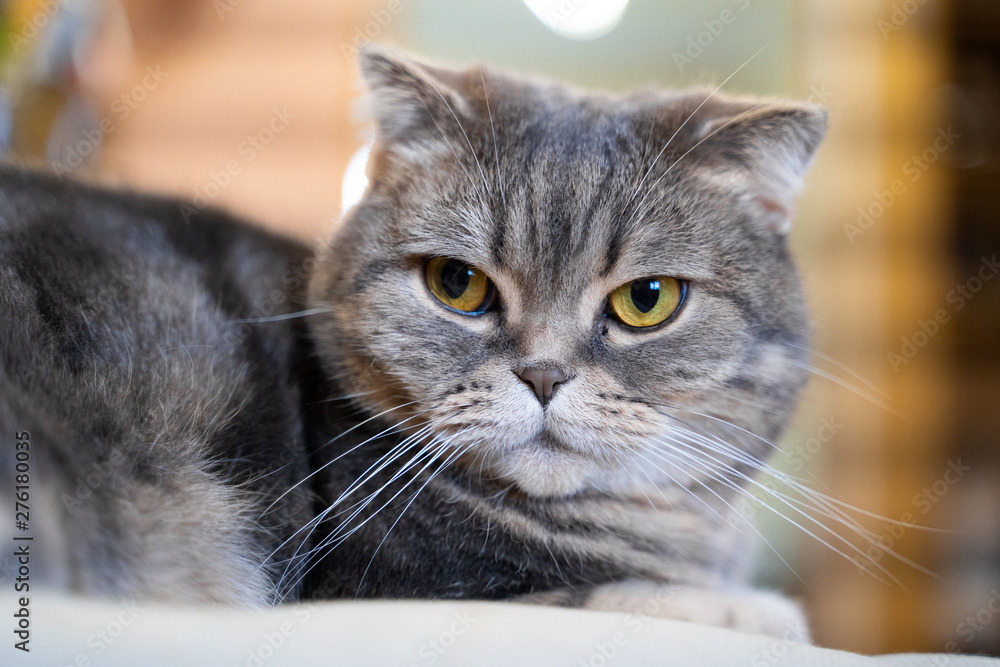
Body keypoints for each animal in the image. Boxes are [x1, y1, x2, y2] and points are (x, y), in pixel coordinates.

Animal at [0, 45, 824, 640]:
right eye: (457, 283)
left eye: (647, 299)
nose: (544, 376)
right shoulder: (378, 583)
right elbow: (612, 594)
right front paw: (757, 608)